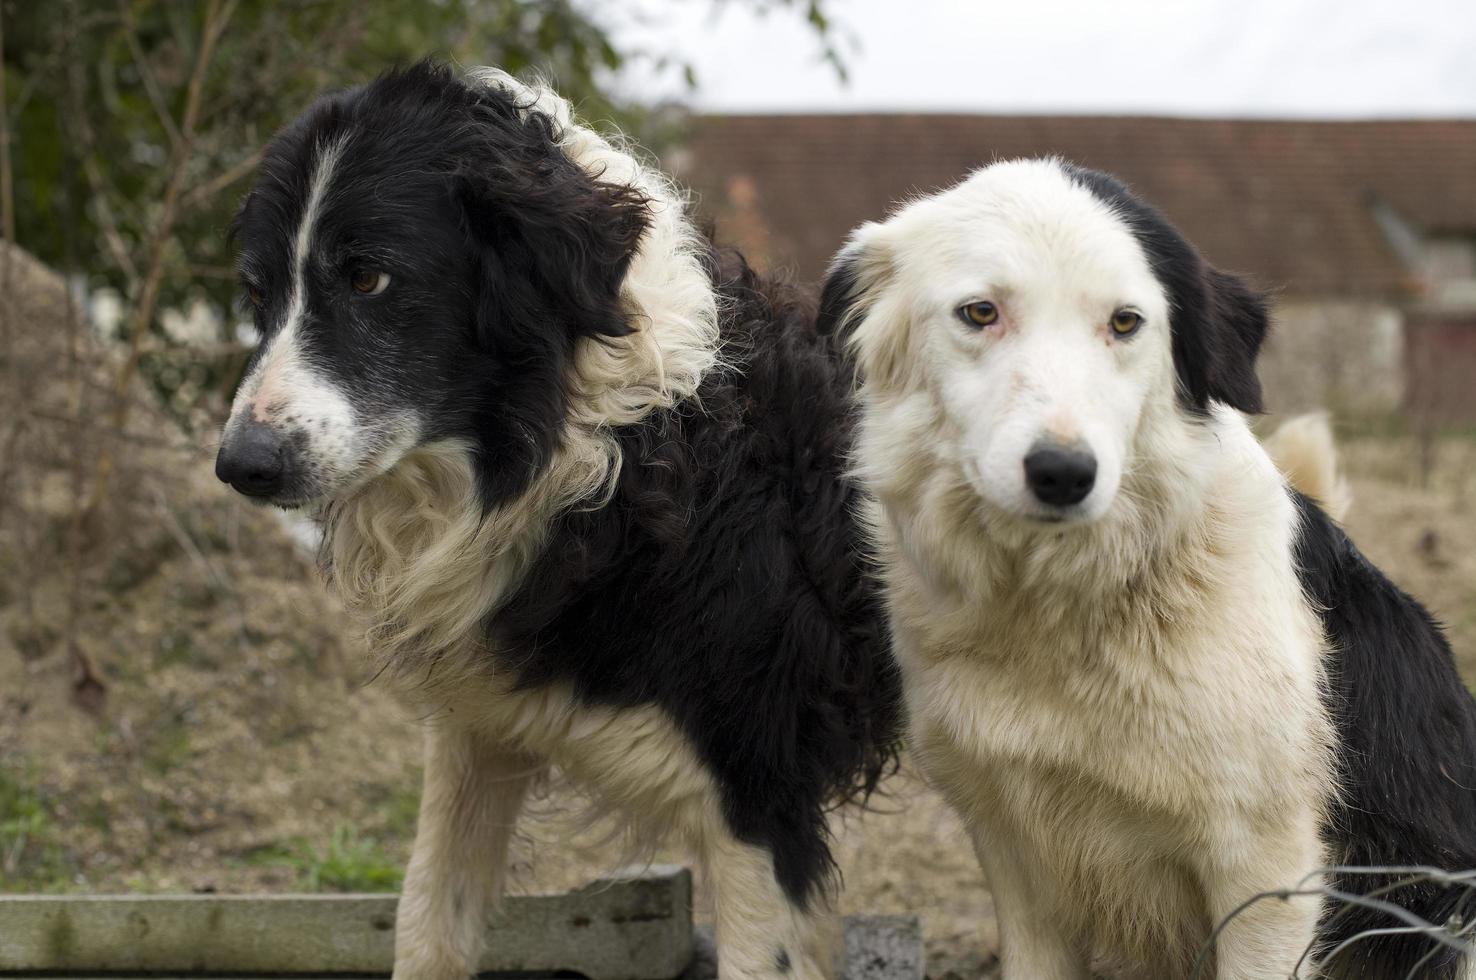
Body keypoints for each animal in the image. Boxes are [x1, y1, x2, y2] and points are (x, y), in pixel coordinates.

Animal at [212, 63, 891, 980]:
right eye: (257, 293)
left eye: (368, 279)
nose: (240, 466)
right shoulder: (478, 732)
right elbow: (428, 917)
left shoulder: (760, 785)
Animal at [820, 157, 1476, 974]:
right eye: (980, 313)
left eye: (1126, 323)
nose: (1063, 473)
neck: (1067, 607)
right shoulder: (1015, 857)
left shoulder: (1268, 872)